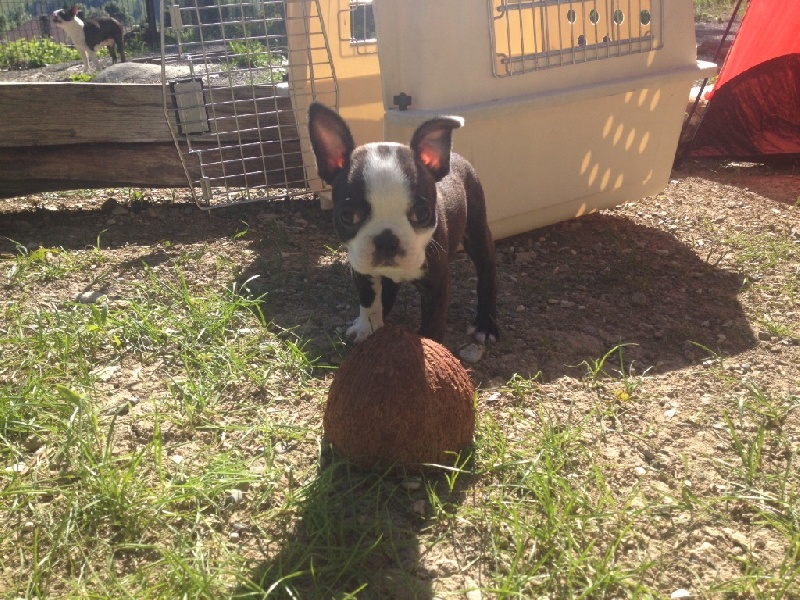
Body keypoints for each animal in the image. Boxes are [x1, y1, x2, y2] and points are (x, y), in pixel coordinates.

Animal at [308, 102, 499, 344]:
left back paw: (486, 324)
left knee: (486, 274)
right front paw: (367, 328)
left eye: (422, 213)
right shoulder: (361, 270)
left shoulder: (437, 283)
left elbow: (433, 322)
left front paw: (430, 345)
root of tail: (455, 156)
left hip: (477, 231)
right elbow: (369, 301)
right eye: (348, 216)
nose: (386, 240)